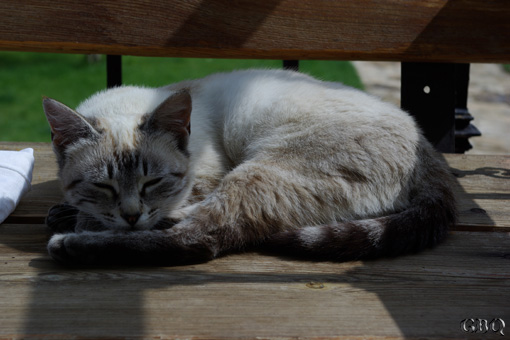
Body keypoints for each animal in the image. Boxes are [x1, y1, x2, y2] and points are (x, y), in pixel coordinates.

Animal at [41, 68, 456, 266]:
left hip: (257, 170)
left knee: (200, 237)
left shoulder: (206, 176)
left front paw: (81, 224)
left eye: (153, 182)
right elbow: (81, 206)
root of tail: (428, 150)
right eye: (103, 186)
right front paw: (67, 212)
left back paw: (73, 245)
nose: (130, 216)